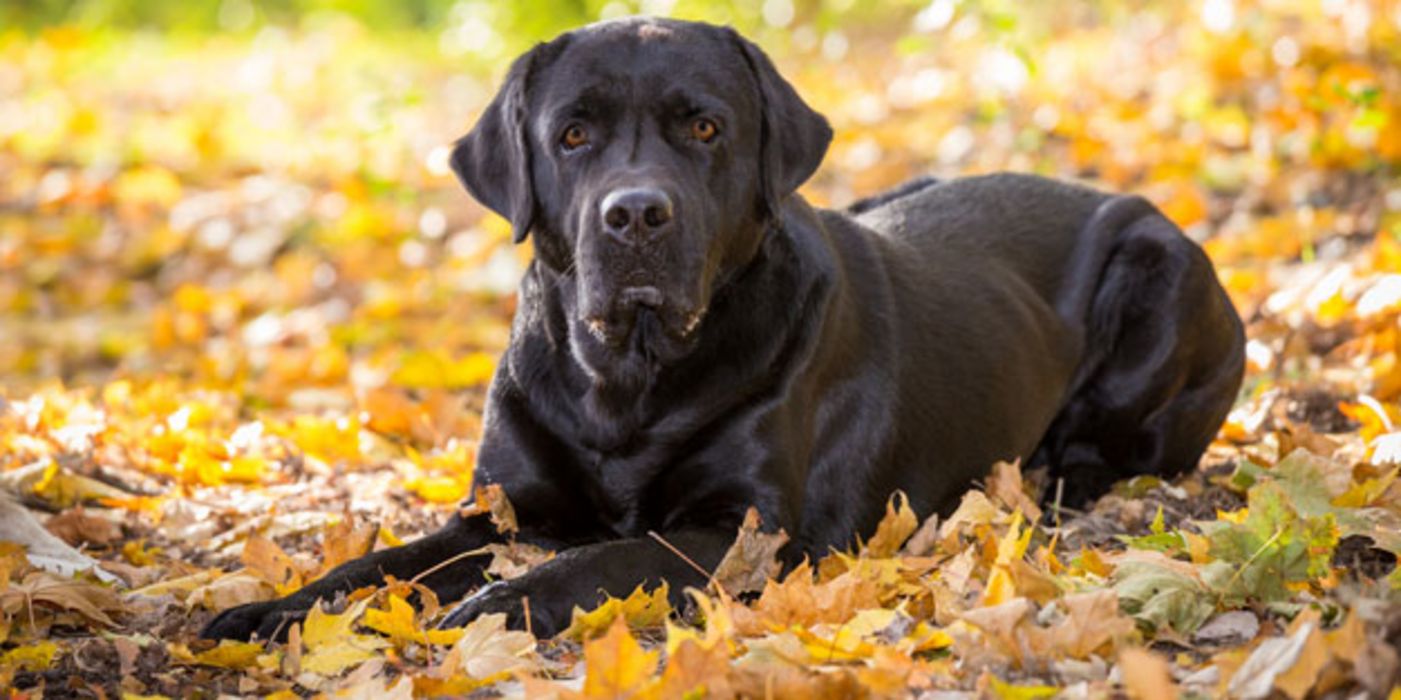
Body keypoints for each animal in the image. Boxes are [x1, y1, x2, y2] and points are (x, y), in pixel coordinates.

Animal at [200, 17, 1249, 641]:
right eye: (572, 134)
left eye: (704, 128)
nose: (634, 215)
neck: (623, 378)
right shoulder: (499, 508)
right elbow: (379, 562)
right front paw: (266, 613)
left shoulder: (754, 529)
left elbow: (608, 555)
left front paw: (498, 604)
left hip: (1160, 273)